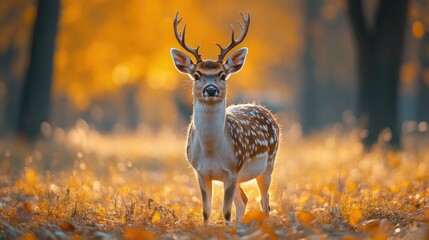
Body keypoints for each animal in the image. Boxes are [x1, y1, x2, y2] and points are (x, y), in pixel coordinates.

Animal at [169, 11, 280, 225]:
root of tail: (265, 110)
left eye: (222, 75)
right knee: (244, 200)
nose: (211, 90)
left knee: (265, 201)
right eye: (196, 75)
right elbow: (206, 211)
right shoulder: (200, 171)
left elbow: (225, 211)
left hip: (268, 164)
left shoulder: (233, 169)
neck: (212, 152)